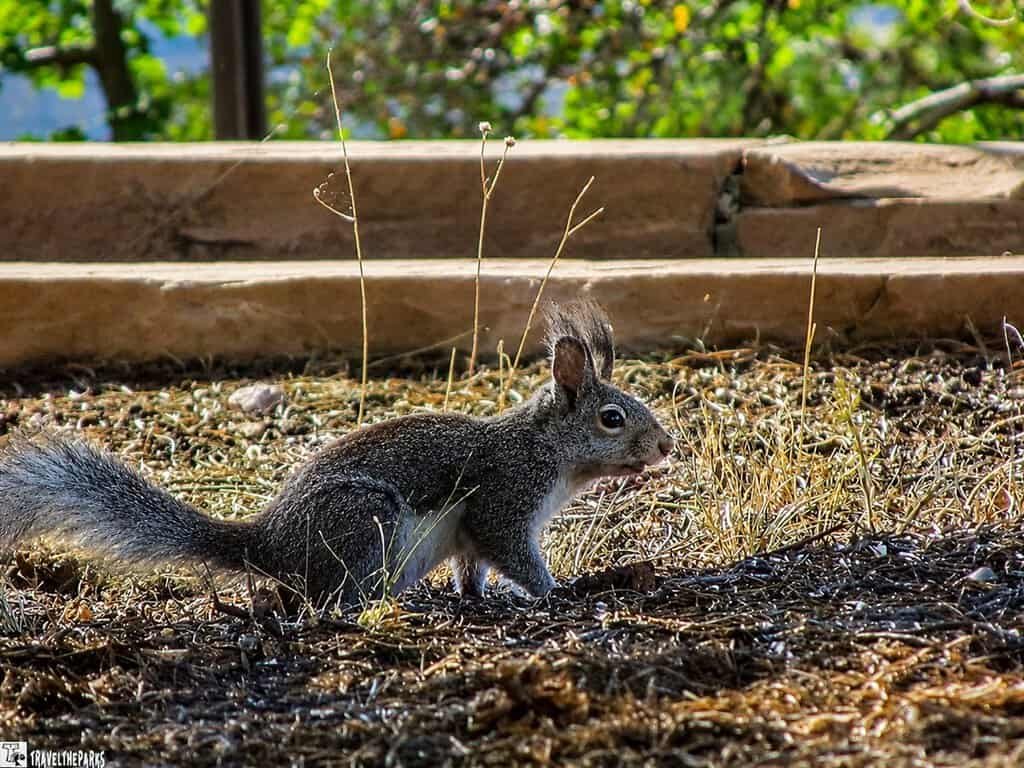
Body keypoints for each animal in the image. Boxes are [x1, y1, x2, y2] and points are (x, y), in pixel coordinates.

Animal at [0, 300, 672, 608]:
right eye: (612, 418)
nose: (666, 447)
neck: (546, 449)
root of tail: (270, 546)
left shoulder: (473, 532)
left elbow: (472, 565)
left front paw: (476, 597)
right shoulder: (505, 497)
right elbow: (511, 551)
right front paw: (557, 590)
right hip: (364, 521)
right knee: (340, 595)